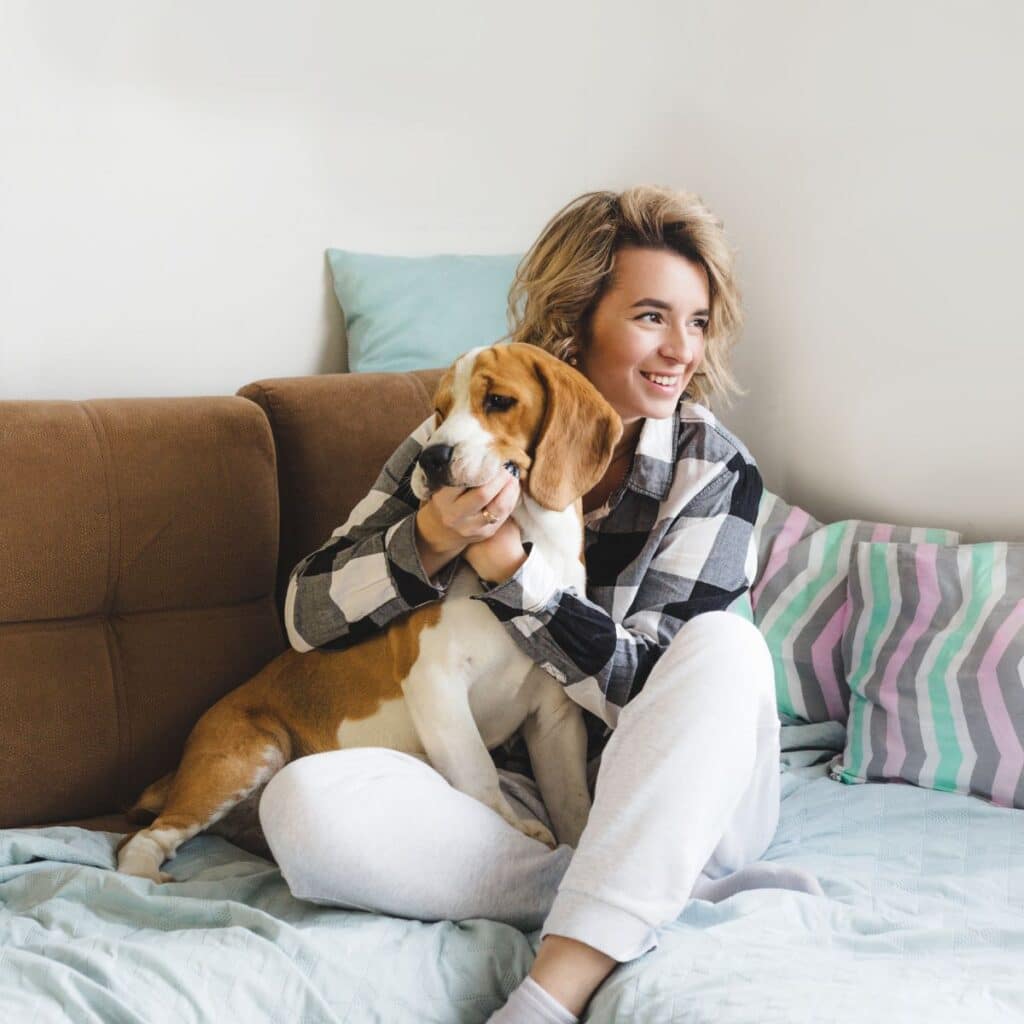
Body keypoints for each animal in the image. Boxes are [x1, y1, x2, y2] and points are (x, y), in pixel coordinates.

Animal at [116, 342, 618, 880]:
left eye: (499, 401)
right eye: (439, 411)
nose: (431, 456)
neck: (531, 550)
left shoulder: (556, 718)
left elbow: (574, 805)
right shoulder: (435, 680)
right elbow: (480, 777)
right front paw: (517, 829)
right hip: (248, 756)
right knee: (144, 837)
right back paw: (144, 873)